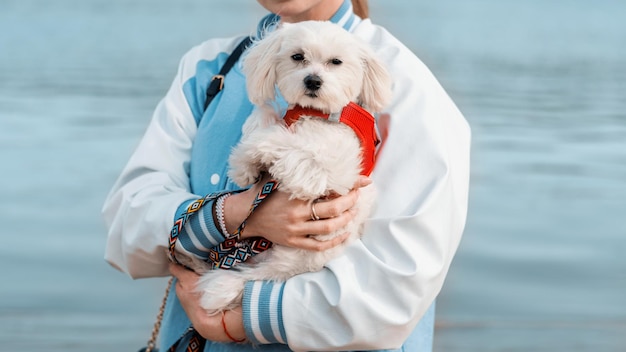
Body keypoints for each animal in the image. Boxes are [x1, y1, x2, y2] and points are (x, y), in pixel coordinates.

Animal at [188, 20, 390, 314]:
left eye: (336, 62)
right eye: (297, 57)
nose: (313, 80)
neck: (316, 114)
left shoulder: (322, 171)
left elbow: (282, 142)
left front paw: (247, 158)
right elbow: (264, 118)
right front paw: (247, 167)